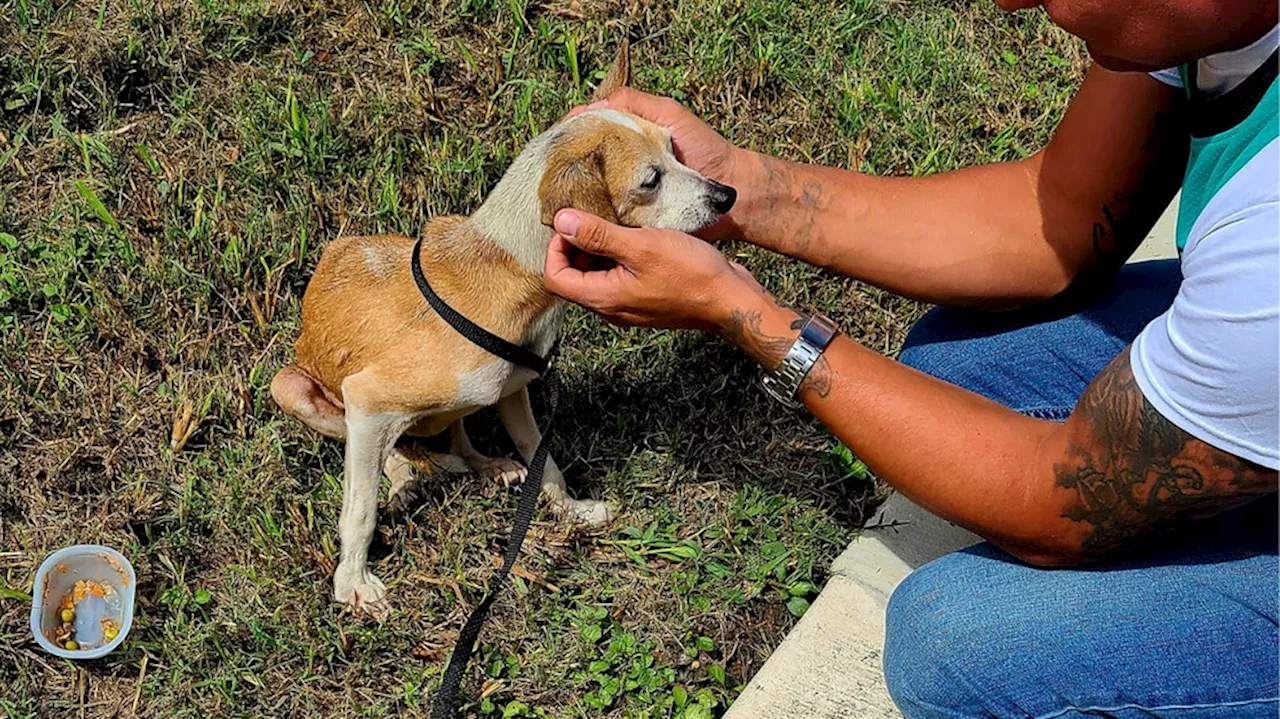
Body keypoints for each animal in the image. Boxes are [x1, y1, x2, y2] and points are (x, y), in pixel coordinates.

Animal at [272, 43, 742, 616]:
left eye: (676, 149)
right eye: (650, 180)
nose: (727, 196)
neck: (515, 274)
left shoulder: (515, 392)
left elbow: (547, 465)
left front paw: (574, 512)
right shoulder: (368, 400)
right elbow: (359, 509)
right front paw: (353, 582)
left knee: (458, 436)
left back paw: (484, 465)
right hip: (292, 387)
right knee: (393, 452)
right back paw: (409, 477)